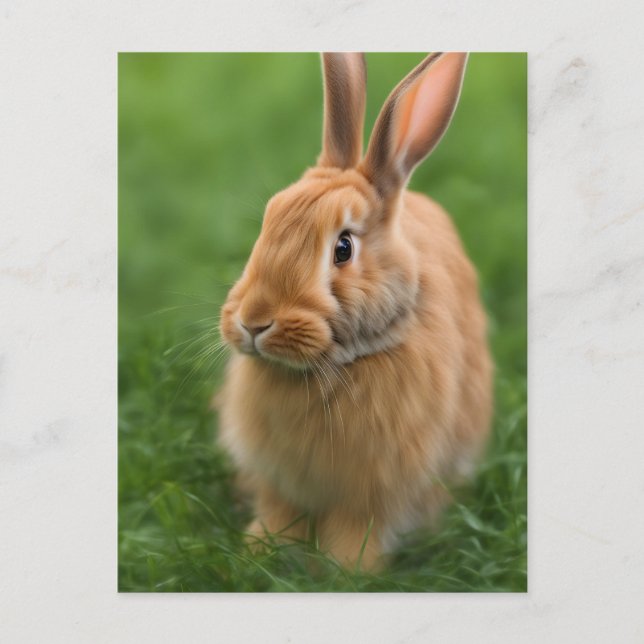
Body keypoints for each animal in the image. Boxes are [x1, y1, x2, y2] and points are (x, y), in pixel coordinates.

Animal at [216, 52, 493, 571]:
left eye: (343, 248)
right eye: (269, 220)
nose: (254, 322)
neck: (330, 368)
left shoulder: (378, 489)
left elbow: (359, 527)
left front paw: (347, 569)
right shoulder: (279, 481)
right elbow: (279, 512)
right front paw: (261, 549)